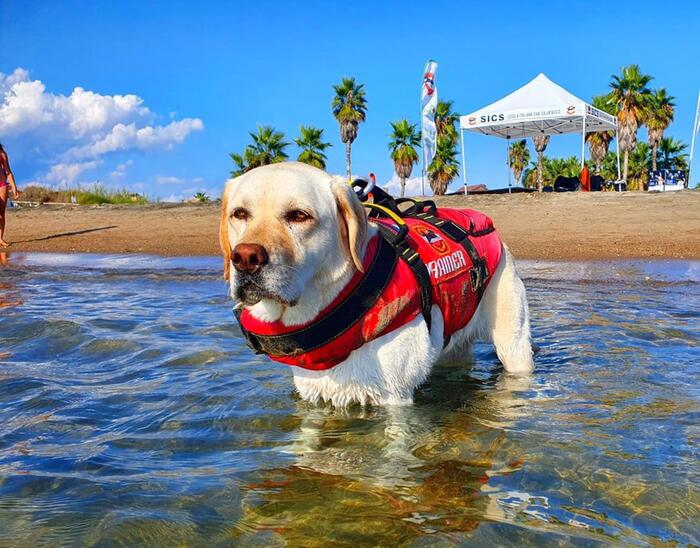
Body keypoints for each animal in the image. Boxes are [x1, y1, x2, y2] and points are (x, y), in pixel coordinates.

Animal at [221, 161, 532, 404]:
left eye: (299, 215)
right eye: (239, 214)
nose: (245, 258)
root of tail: (490, 227)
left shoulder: (395, 398)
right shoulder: (313, 395)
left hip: (513, 344)